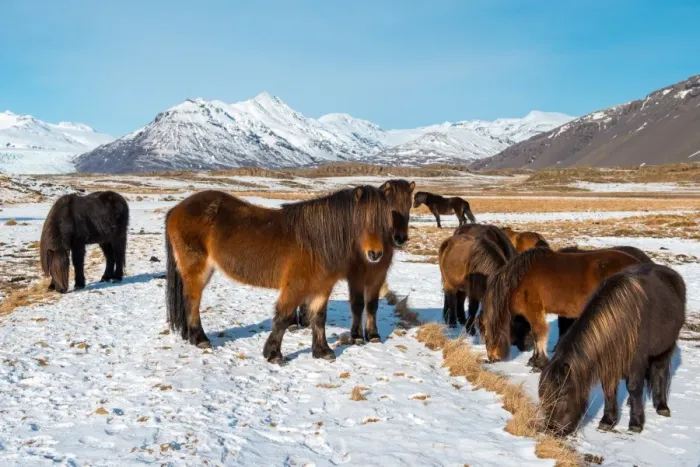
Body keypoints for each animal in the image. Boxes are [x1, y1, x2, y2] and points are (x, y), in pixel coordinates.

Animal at [164, 186, 394, 364]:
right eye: (362, 219)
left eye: (386, 221)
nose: (375, 254)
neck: (317, 242)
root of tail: (177, 209)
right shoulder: (295, 287)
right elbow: (282, 317)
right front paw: (273, 354)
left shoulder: (322, 288)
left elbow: (319, 318)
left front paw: (323, 351)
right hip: (197, 270)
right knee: (192, 301)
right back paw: (199, 338)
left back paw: (189, 335)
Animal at [295, 179, 415, 344]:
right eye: (391, 210)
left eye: (409, 206)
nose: (400, 238)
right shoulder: (356, 276)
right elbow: (357, 304)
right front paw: (357, 335)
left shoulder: (378, 275)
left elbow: (372, 304)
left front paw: (373, 334)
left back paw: (305, 320)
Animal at [482, 247, 642, 370]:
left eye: (486, 335)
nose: (491, 358)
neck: (519, 280)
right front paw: (533, 360)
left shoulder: (533, 310)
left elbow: (538, 333)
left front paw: (539, 363)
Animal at [539, 263, 686, 437]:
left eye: (561, 395)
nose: (552, 429)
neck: (619, 321)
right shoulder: (609, 361)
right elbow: (608, 389)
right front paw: (608, 421)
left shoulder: (635, 361)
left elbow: (633, 387)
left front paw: (636, 423)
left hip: (665, 348)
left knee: (660, 371)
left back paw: (662, 406)